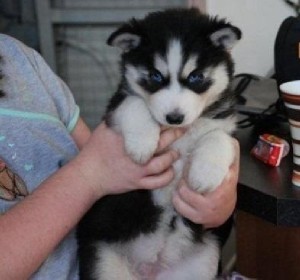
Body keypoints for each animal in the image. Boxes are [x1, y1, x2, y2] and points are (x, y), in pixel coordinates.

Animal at [77, 8, 241, 280]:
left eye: (196, 77)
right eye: (154, 76)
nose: (174, 117)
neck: (180, 132)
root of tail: (151, 270)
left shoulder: (224, 124)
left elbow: (219, 138)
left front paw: (205, 174)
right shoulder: (115, 108)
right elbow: (134, 103)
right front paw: (143, 144)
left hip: (203, 263)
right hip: (103, 261)